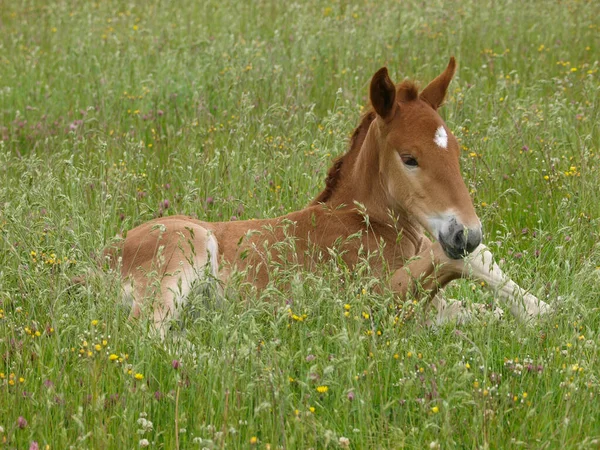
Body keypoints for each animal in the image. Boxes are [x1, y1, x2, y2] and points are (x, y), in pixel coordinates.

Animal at [110, 58, 552, 336]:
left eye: (456, 151)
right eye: (410, 158)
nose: (466, 233)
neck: (362, 222)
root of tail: (99, 262)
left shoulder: (433, 309)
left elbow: (482, 304)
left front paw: (542, 310)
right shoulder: (369, 302)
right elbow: (458, 260)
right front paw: (543, 310)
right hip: (186, 245)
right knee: (143, 333)